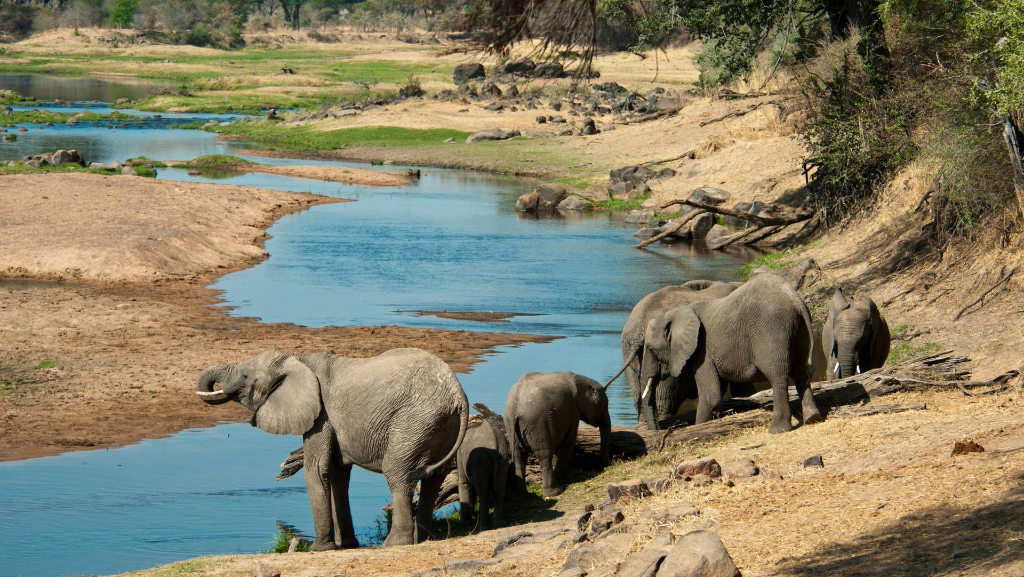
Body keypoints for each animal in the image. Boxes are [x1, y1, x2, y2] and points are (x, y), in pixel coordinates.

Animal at [194, 348, 468, 549]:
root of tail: (458, 395)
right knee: (433, 480)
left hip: (414, 421)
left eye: (245, 377)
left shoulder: (321, 415)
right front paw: (346, 545)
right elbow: (338, 474)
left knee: (398, 474)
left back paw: (394, 544)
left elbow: (316, 469)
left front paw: (320, 549)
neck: (297, 360)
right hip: (439, 426)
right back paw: (424, 539)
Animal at [643, 274, 819, 434]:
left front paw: (698, 426)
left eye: (650, 349)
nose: (659, 430)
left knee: (778, 375)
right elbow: (718, 393)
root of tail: (794, 299)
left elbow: (711, 395)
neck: (672, 314)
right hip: (799, 330)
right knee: (801, 372)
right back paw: (813, 418)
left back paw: (777, 430)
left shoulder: (702, 351)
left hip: (771, 329)